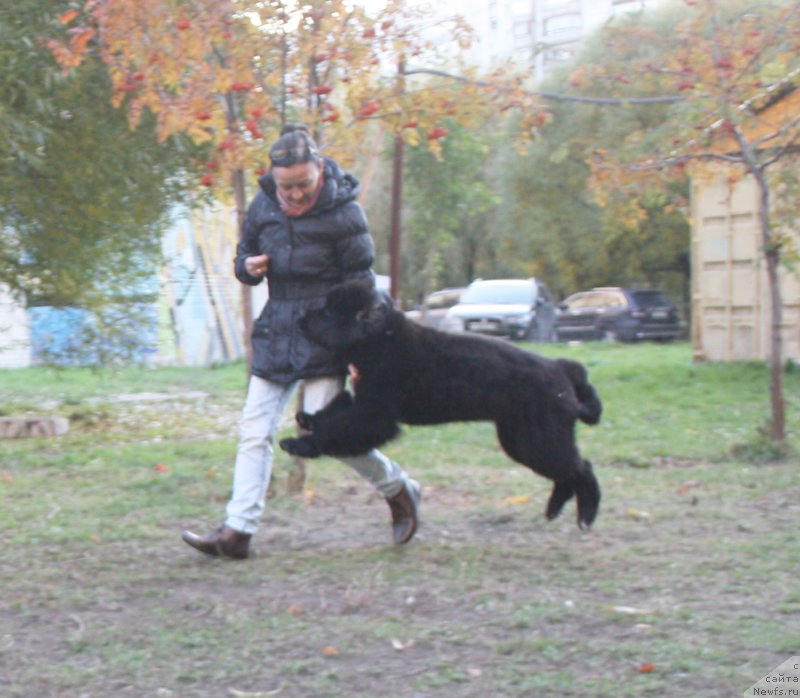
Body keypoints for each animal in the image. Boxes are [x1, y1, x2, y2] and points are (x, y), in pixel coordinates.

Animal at [282, 280, 600, 524]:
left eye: (327, 312)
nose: (300, 319)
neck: (380, 340)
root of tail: (562, 369)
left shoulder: (376, 414)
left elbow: (337, 429)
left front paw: (299, 444)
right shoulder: (364, 403)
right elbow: (336, 413)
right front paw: (309, 419)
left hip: (539, 441)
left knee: (581, 468)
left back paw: (587, 513)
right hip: (520, 440)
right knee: (568, 473)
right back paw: (555, 509)